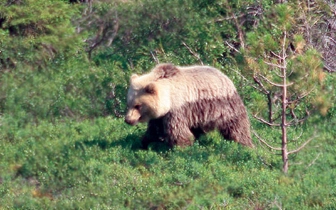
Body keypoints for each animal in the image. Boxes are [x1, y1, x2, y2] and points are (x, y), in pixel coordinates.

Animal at [124, 63, 253, 148]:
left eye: (138, 106)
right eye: (128, 104)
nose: (128, 120)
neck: (168, 98)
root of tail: (226, 76)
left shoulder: (177, 108)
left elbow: (178, 131)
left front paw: (179, 147)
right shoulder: (161, 116)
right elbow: (154, 130)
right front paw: (144, 142)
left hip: (225, 106)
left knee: (236, 126)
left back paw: (245, 145)